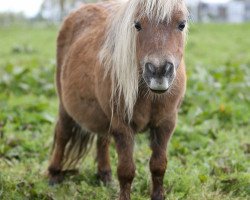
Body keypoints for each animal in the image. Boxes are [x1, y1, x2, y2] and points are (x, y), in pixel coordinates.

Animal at [48, 0, 188, 199]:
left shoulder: (165, 124)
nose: (159, 71)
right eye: (137, 25)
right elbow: (126, 171)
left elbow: (159, 166)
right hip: (66, 108)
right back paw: (54, 175)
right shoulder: (122, 126)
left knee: (102, 140)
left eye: (181, 24)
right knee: (63, 134)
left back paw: (104, 176)